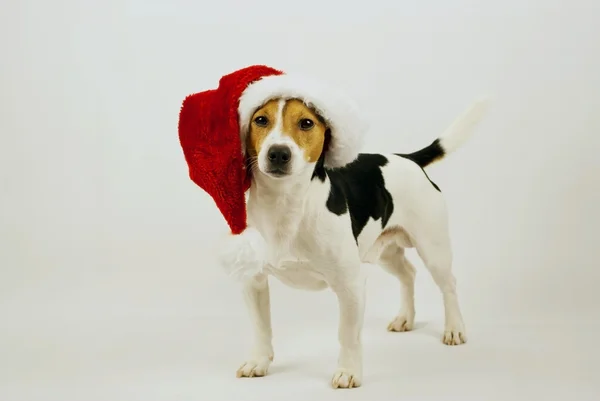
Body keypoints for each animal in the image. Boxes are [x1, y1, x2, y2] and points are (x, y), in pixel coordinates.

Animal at [225, 75, 488, 388]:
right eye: (261, 120)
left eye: (306, 123)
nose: (278, 153)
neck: (286, 204)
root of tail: (408, 159)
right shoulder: (253, 281)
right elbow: (261, 327)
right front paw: (259, 361)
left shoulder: (350, 284)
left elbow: (347, 334)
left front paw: (348, 371)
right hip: (385, 251)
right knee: (408, 274)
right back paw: (405, 318)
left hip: (434, 248)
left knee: (448, 285)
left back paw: (454, 328)